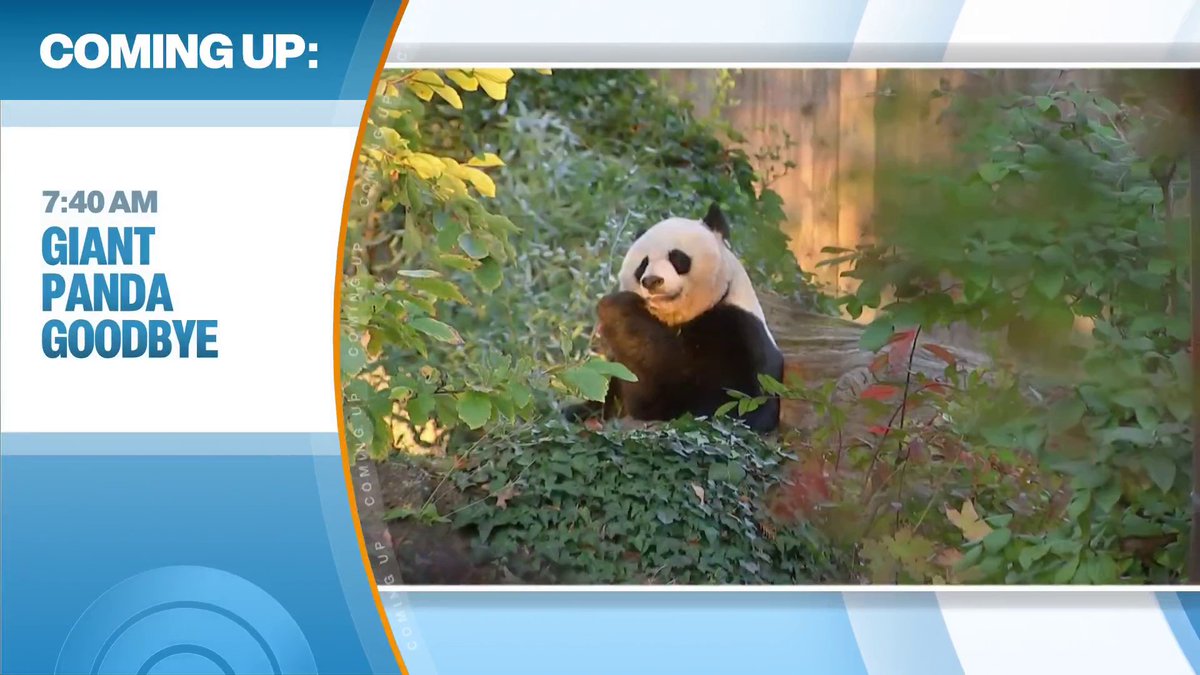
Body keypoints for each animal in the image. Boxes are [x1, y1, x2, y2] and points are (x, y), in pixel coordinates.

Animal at [566, 203, 784, 433]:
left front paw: (617, 309)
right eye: (643, 264)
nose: (652, 281)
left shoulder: (738, 332)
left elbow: (739, 403)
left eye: (677, 257)